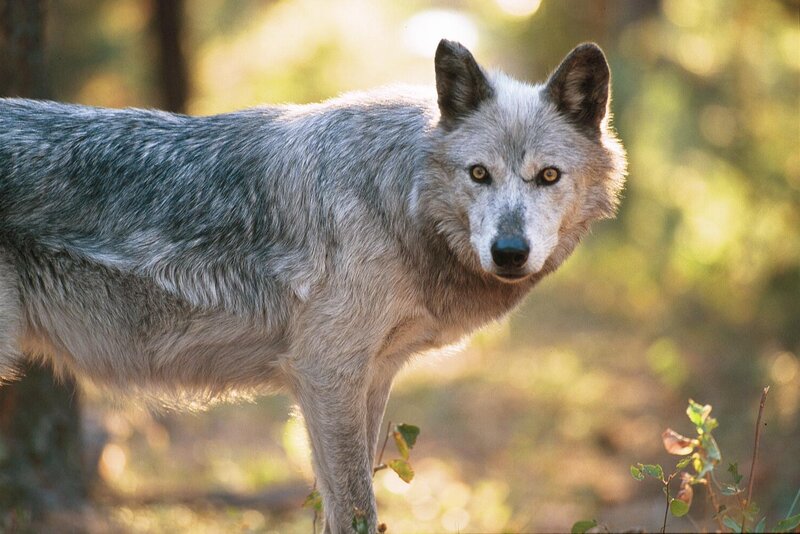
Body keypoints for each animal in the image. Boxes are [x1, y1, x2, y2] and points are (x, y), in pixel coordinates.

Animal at [0, 40, 625, 532]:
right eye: (479, 174)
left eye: (548, 176)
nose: (509, 252)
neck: (397, 200)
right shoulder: (326, 376)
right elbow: (356, 512)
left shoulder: (371, 378)